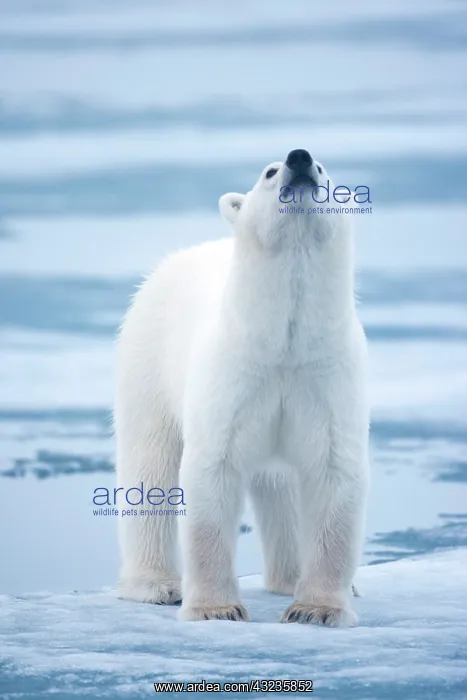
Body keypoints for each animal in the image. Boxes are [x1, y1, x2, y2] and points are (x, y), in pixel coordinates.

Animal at [115, 148, 370, 626]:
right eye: (269, 172)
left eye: (324, 171)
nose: (299, 158)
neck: (283, 344)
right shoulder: (232, 376)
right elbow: (211, 471)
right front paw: (216, 609)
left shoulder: (325, 376)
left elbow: (333, 474)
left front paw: (316, 609)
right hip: (148, 362)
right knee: (149, 463)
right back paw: (157, 585)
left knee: (281, 488)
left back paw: (295, 578)